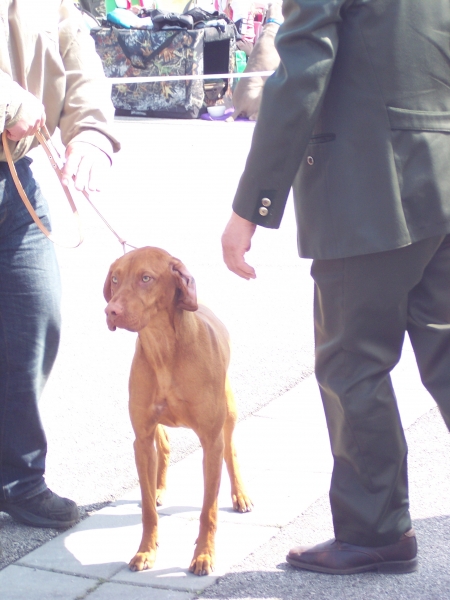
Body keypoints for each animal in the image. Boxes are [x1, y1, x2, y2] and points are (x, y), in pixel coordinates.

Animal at [103, 246, 253, 576]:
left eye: (146, 278)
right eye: (116, 279)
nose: (111, 311)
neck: (163, 348)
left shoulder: (210, 441)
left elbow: (208, 509)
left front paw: (204, 556)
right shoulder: (141, 438)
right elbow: (147, 509)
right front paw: (146, 551)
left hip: (229, 413)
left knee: (232, 451)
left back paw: (240, 495)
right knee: (165, 446)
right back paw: (160, 489)